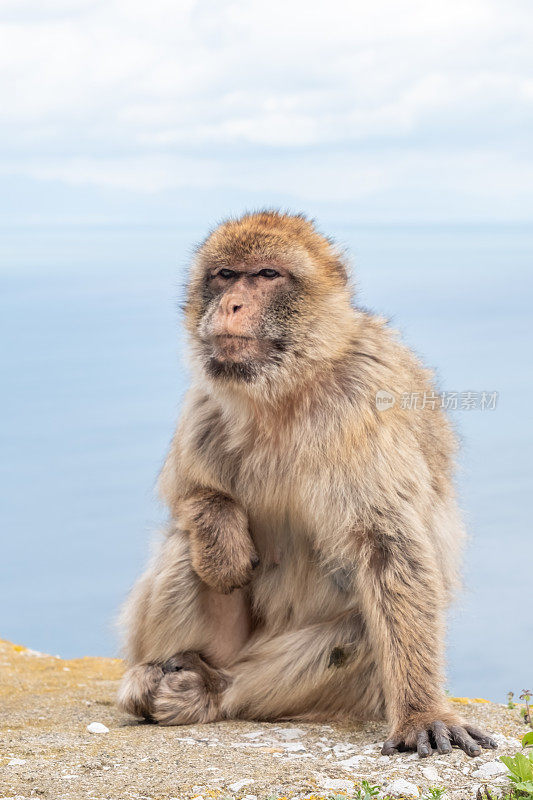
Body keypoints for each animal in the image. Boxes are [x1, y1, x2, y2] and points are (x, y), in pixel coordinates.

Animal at [116, 211, 494, 756]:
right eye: (225, 275)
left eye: (267, 275)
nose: (230, 304)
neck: (288, 389)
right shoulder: (207, 401)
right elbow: (188, 491)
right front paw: (223, 542)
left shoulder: (364, 398)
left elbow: (389, 547)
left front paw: (422, 713)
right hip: (227, 643)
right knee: (186, 546)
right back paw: (157, 676)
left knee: (359, 630)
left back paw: (215, 692)